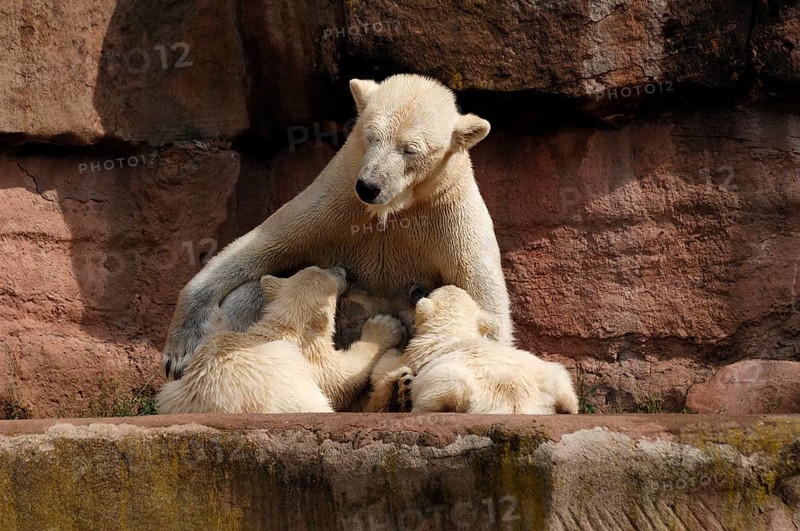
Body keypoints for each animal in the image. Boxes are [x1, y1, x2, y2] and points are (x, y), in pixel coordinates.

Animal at [156, 266, 405, 414]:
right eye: (333, 279)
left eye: (320, 266)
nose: (343, 270)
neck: (285, 327)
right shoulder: (311, 358)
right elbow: (343, 376)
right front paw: (385, 326)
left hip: (172, 394)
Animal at [163, 74, 513, 381]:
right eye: (371, 135)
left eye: (409, 149)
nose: (369, 187)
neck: (393, 208)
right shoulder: (337, 201)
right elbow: (261, 246)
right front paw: (179, 352)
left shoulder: (447, 214)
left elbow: (482, 301)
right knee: (251, 292)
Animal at [366, 286, 579, 415]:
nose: (420, 291)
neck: (453, 328)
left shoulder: (416, 352)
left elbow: (382, 369)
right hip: (548, 374)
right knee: (562, 381)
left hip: (455, 383)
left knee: (452, 384)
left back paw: (405, 396)